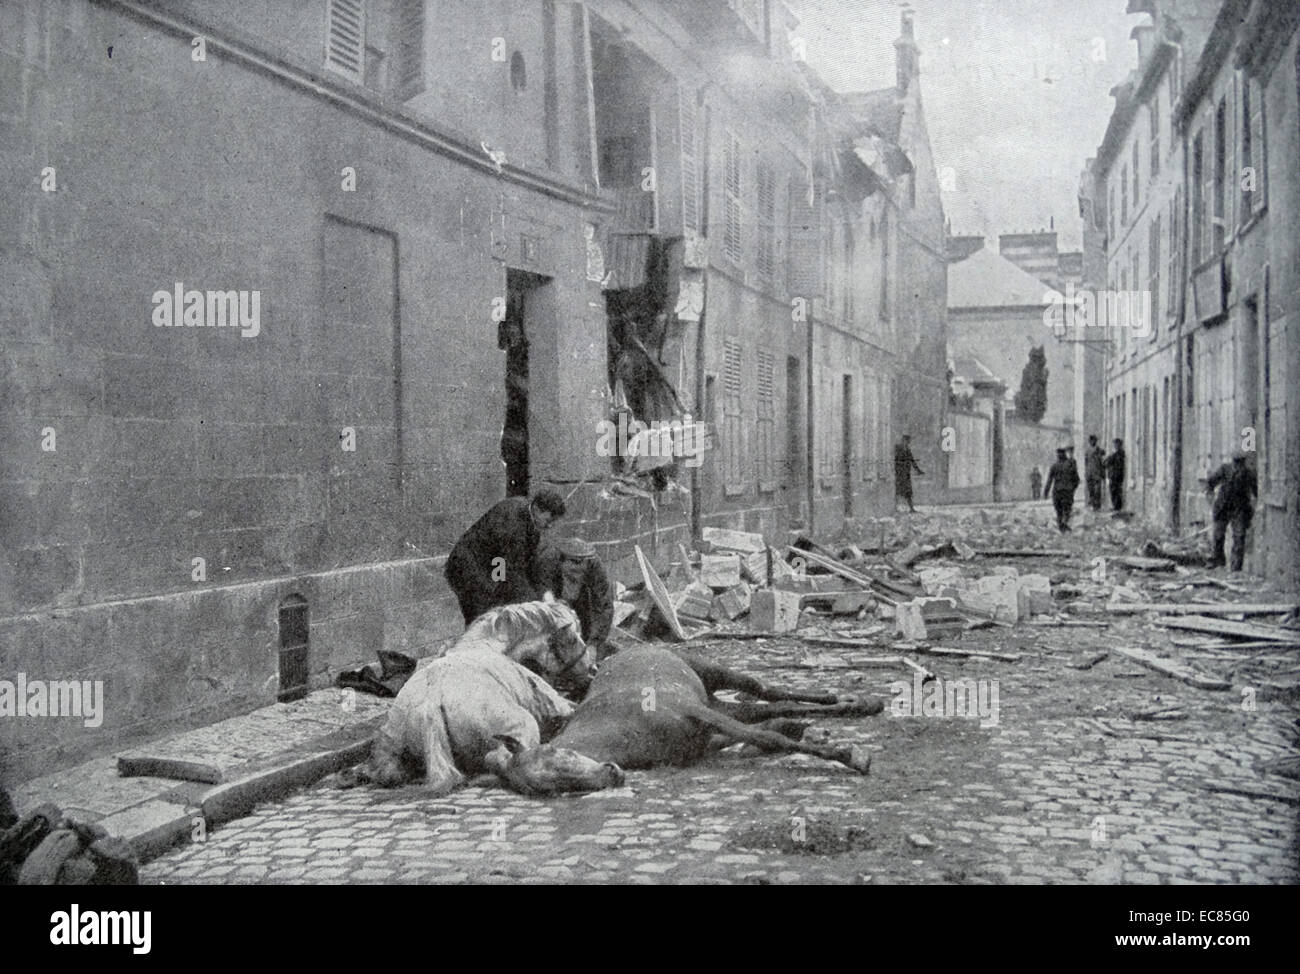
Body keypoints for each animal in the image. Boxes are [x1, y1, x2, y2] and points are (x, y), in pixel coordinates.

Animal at [488, 642, 883, 795]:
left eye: (560, 755)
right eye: (552, 789)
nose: (613, 774)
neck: (625, 725)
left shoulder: (698, 713)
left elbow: (767, 738)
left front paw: (851, 755)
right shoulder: (703, 735)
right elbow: (762, 735)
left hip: (714, 674)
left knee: (767, 689)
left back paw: (855, 702)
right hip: (721, 704)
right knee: (768, 708)